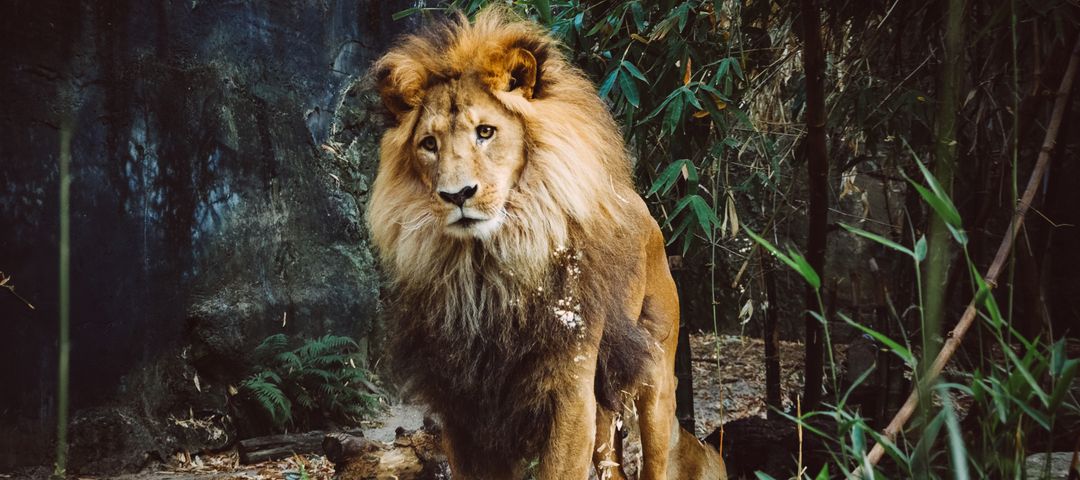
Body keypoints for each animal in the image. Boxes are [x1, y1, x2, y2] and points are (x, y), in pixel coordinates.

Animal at [366, 8, 728, 480]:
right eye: (429, 144)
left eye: (486, 132)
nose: (457, 194)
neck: (487, 269)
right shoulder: (462, 407)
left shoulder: (570, 392)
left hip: (656, 381)